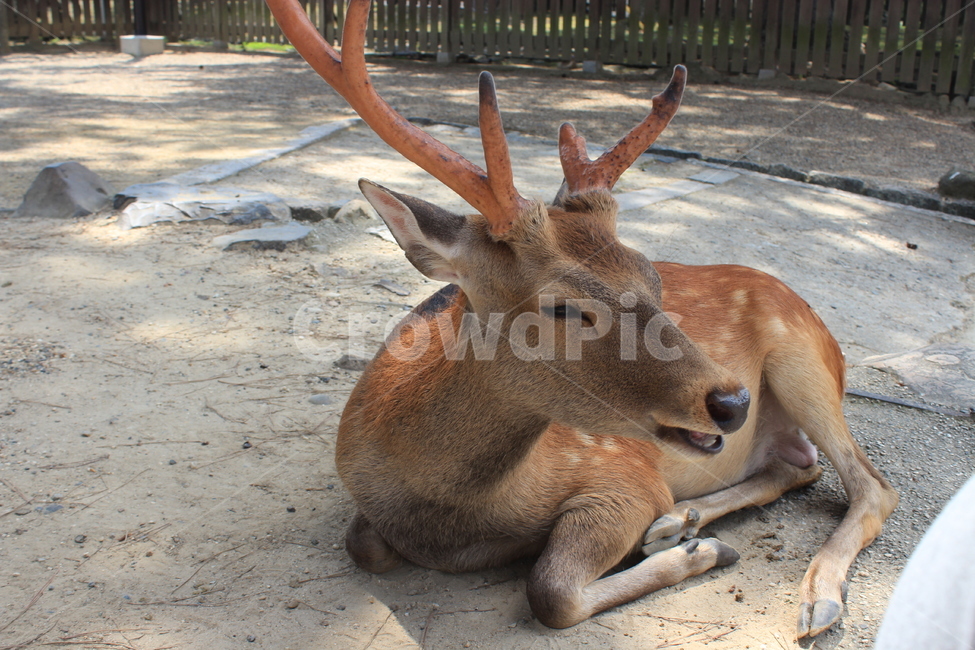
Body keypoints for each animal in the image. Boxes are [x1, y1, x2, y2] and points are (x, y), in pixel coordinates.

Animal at [266, 0, 899, 637]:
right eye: (563, 305)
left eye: (653, 274)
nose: (732, 401)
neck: (456, 514)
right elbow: (363, 545)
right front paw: (692, 539)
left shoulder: (624, 474)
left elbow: (551, 591)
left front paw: (707, 553)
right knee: (798, 467)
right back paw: (685, 522)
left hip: (804, 364)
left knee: (870, 485)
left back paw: (811, 596)